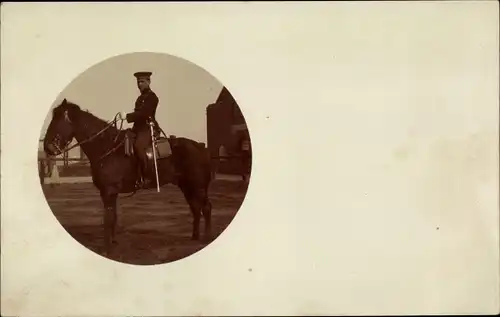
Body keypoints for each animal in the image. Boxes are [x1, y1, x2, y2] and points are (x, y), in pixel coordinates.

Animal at [43, 100, 213, 256]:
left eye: (58, 120)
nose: (47, 147)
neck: (107, 147)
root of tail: (200, 147)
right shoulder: (109, 193)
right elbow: (113, 217)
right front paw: (113, 242)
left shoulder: (109, 191)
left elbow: (108, 219)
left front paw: (107, 248)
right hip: (187, 186)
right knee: (196, 208)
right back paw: (195, 236)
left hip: (198, 187)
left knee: (206, 208)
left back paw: (207, 237)